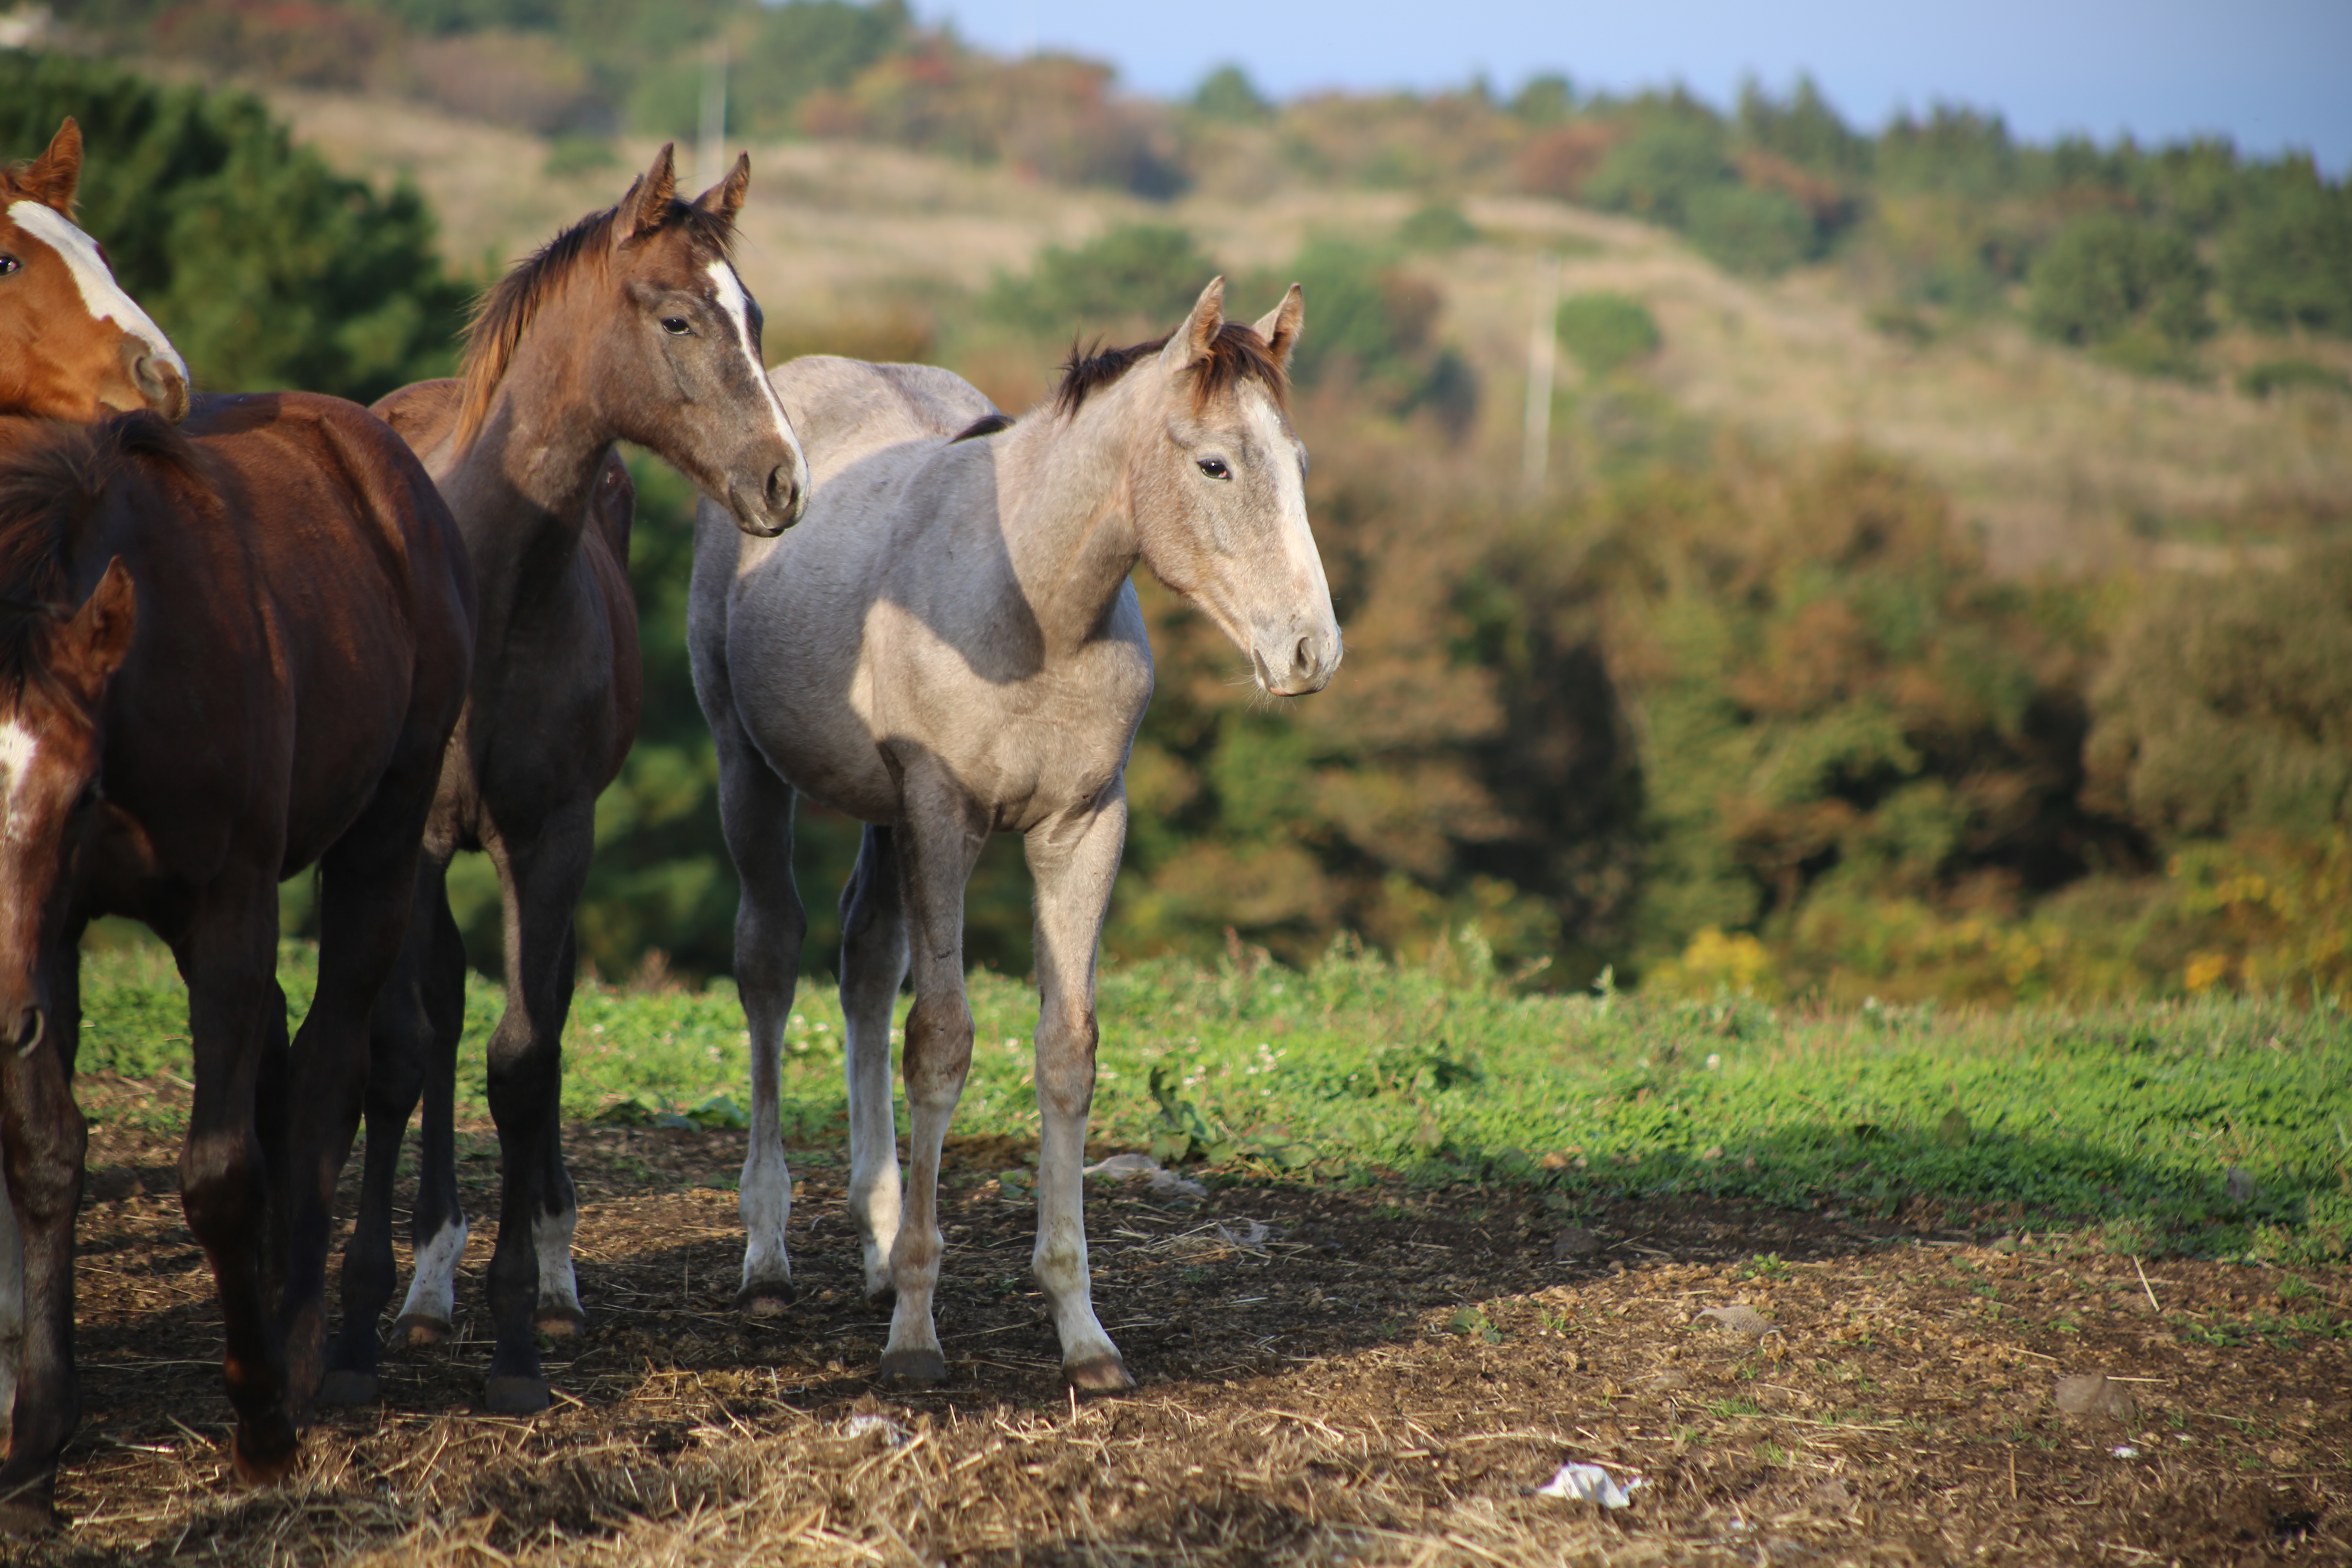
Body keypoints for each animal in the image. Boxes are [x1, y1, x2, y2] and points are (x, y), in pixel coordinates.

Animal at [0, 395, 472, 1532]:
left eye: (78, 793)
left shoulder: (229, 909)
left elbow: (219, 1170)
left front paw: (261, 1424)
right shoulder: (51, 940)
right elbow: (44, 1152)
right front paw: (35, 1445)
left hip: (381, 840)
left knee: (331, 1066)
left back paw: (297, 1346)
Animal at [324, 147, 809, 1420]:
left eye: (756, 315)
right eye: (680, 316)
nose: (784, 482)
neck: (494, 587)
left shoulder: (553, 840)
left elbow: (525, 1056)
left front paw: (517, 1335)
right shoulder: (415, 837)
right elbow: (405, 1047)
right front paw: (357, 1328)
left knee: (529, 1012)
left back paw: (545, 1273)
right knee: (436, 1011)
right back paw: (427, 1280)